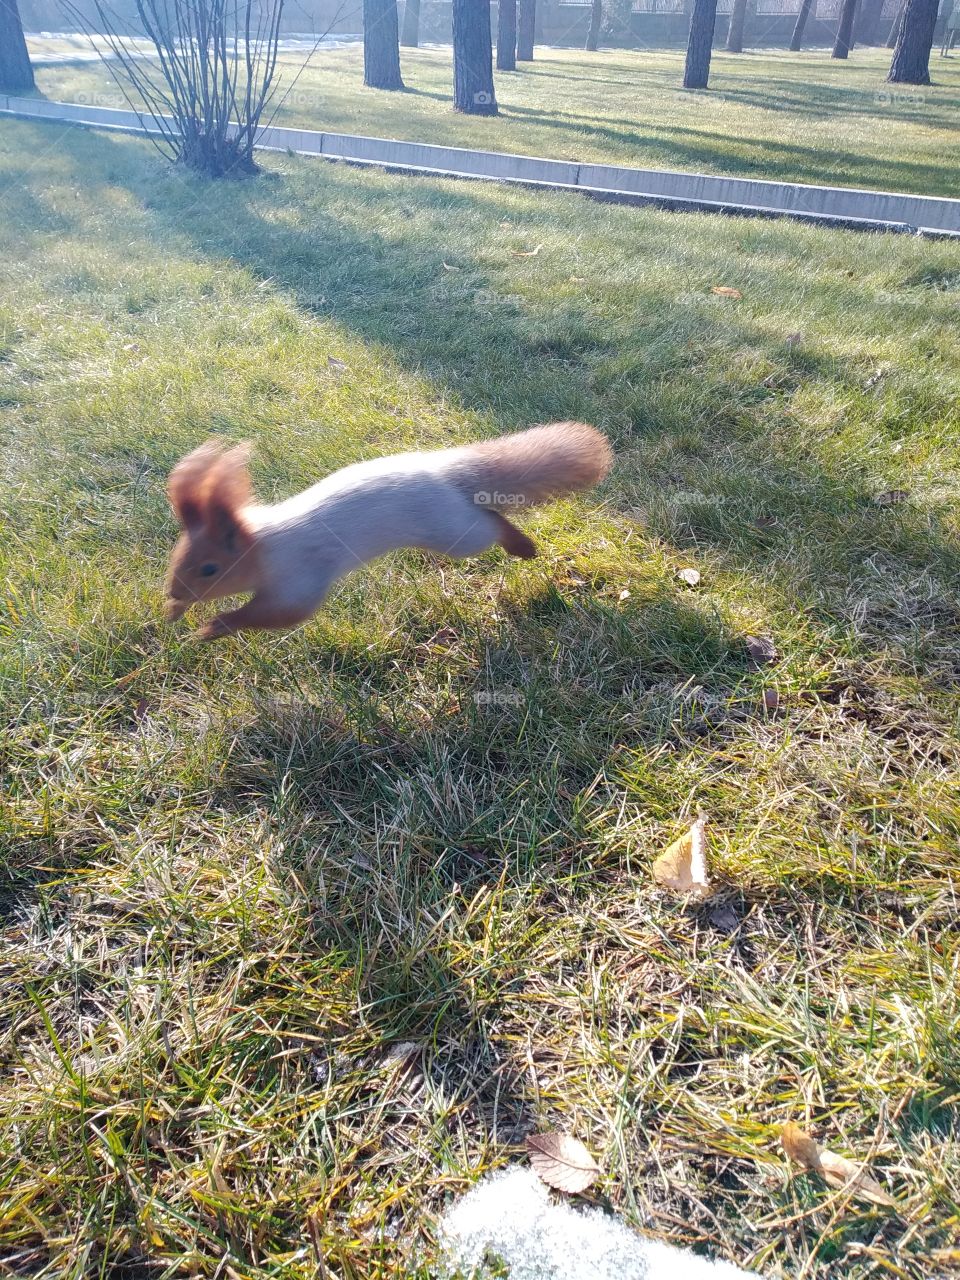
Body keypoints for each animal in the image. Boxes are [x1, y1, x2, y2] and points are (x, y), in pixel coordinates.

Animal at [164, 421, 612, 639]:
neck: (263, 544)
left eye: (210, 569)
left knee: (491, 523)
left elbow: (278, 614)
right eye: (177, 556)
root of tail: (450, 472)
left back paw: (523, 546)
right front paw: (176, 613)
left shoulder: (299, 580)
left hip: (456, 532)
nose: (175, 592)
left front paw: (215, 627)